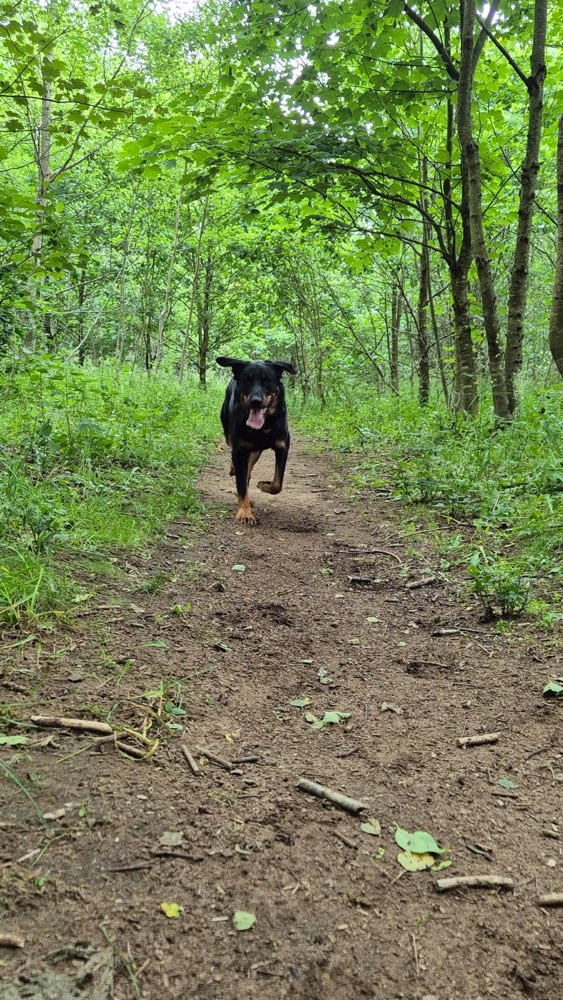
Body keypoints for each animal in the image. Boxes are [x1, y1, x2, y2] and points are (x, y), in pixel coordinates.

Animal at [216, 358, 298, 528]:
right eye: (247, 380)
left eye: (267, 380)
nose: (255, 401)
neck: (264, 426)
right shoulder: (240, 449)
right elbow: (241, 484)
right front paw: (245, 513)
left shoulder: (283, 446)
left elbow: (277, 483)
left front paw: (263, 485)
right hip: (229, 435)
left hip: (256, 451)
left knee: (248, 470)